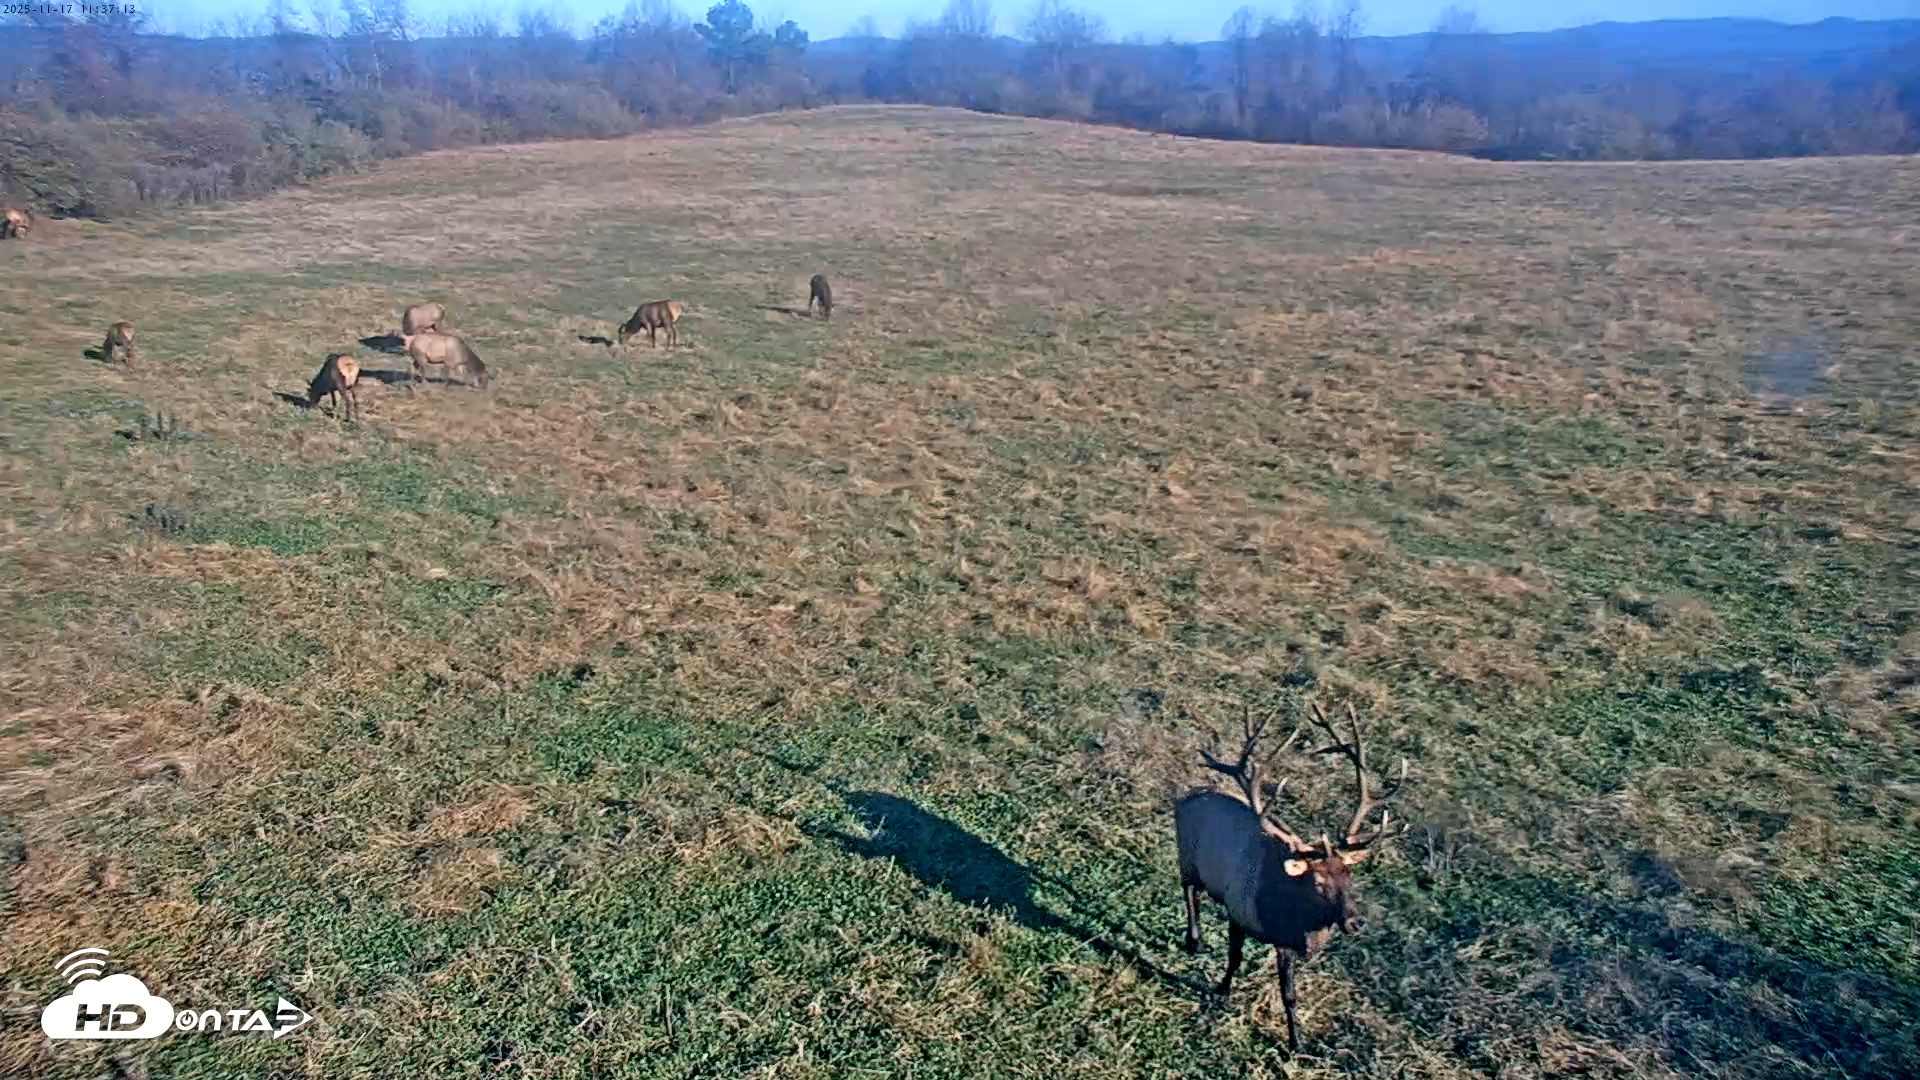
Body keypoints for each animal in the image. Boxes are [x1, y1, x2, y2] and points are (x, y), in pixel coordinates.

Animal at [1174, 696, 1410, 1052]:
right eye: (1318, 881)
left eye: (1348, 876)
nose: (1356, 921)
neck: (1295, 922)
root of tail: (1183, 798)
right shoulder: (1239, 912)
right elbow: (1261, 976)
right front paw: (1225, 992)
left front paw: (1297, 1040)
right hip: (1186, 856)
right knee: (1188, 889)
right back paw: (1194, 942)